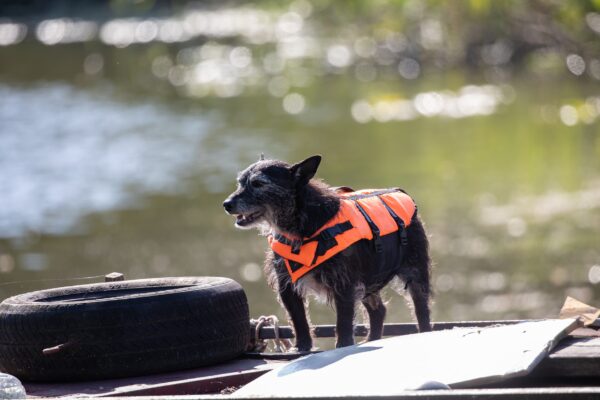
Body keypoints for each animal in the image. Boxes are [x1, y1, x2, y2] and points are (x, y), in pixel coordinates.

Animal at [221, 155, 432, 348]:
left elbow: (343, 323)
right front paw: (302, 348)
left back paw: (423, 331)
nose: (226, 204)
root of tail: (400, 193)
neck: (302, 227)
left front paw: (343, 346)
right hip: (369, 280)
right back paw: (372, 339)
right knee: (378, 310)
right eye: (240, 182)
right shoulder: (287, 286)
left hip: (414, 273)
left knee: (421, 309)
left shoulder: (344, 285)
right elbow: (299, 321)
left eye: (258, 183)